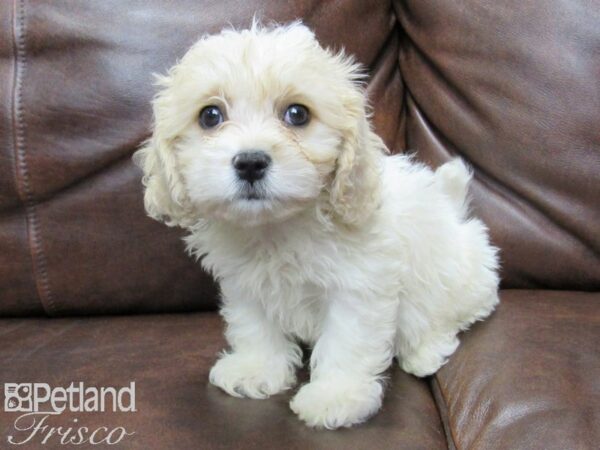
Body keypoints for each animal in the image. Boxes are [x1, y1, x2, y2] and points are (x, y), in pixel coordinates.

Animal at [134, 22, 500, 430]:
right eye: (210, 116)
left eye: (297, 114)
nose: (250, 162)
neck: (279, 226)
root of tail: (451, 205)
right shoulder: (245, 283)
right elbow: (253, 325)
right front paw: (256, 369)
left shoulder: (358, 286)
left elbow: (347, 341)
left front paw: (336, 397)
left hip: (459, 278)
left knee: (456, 312)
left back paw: (426, 350)